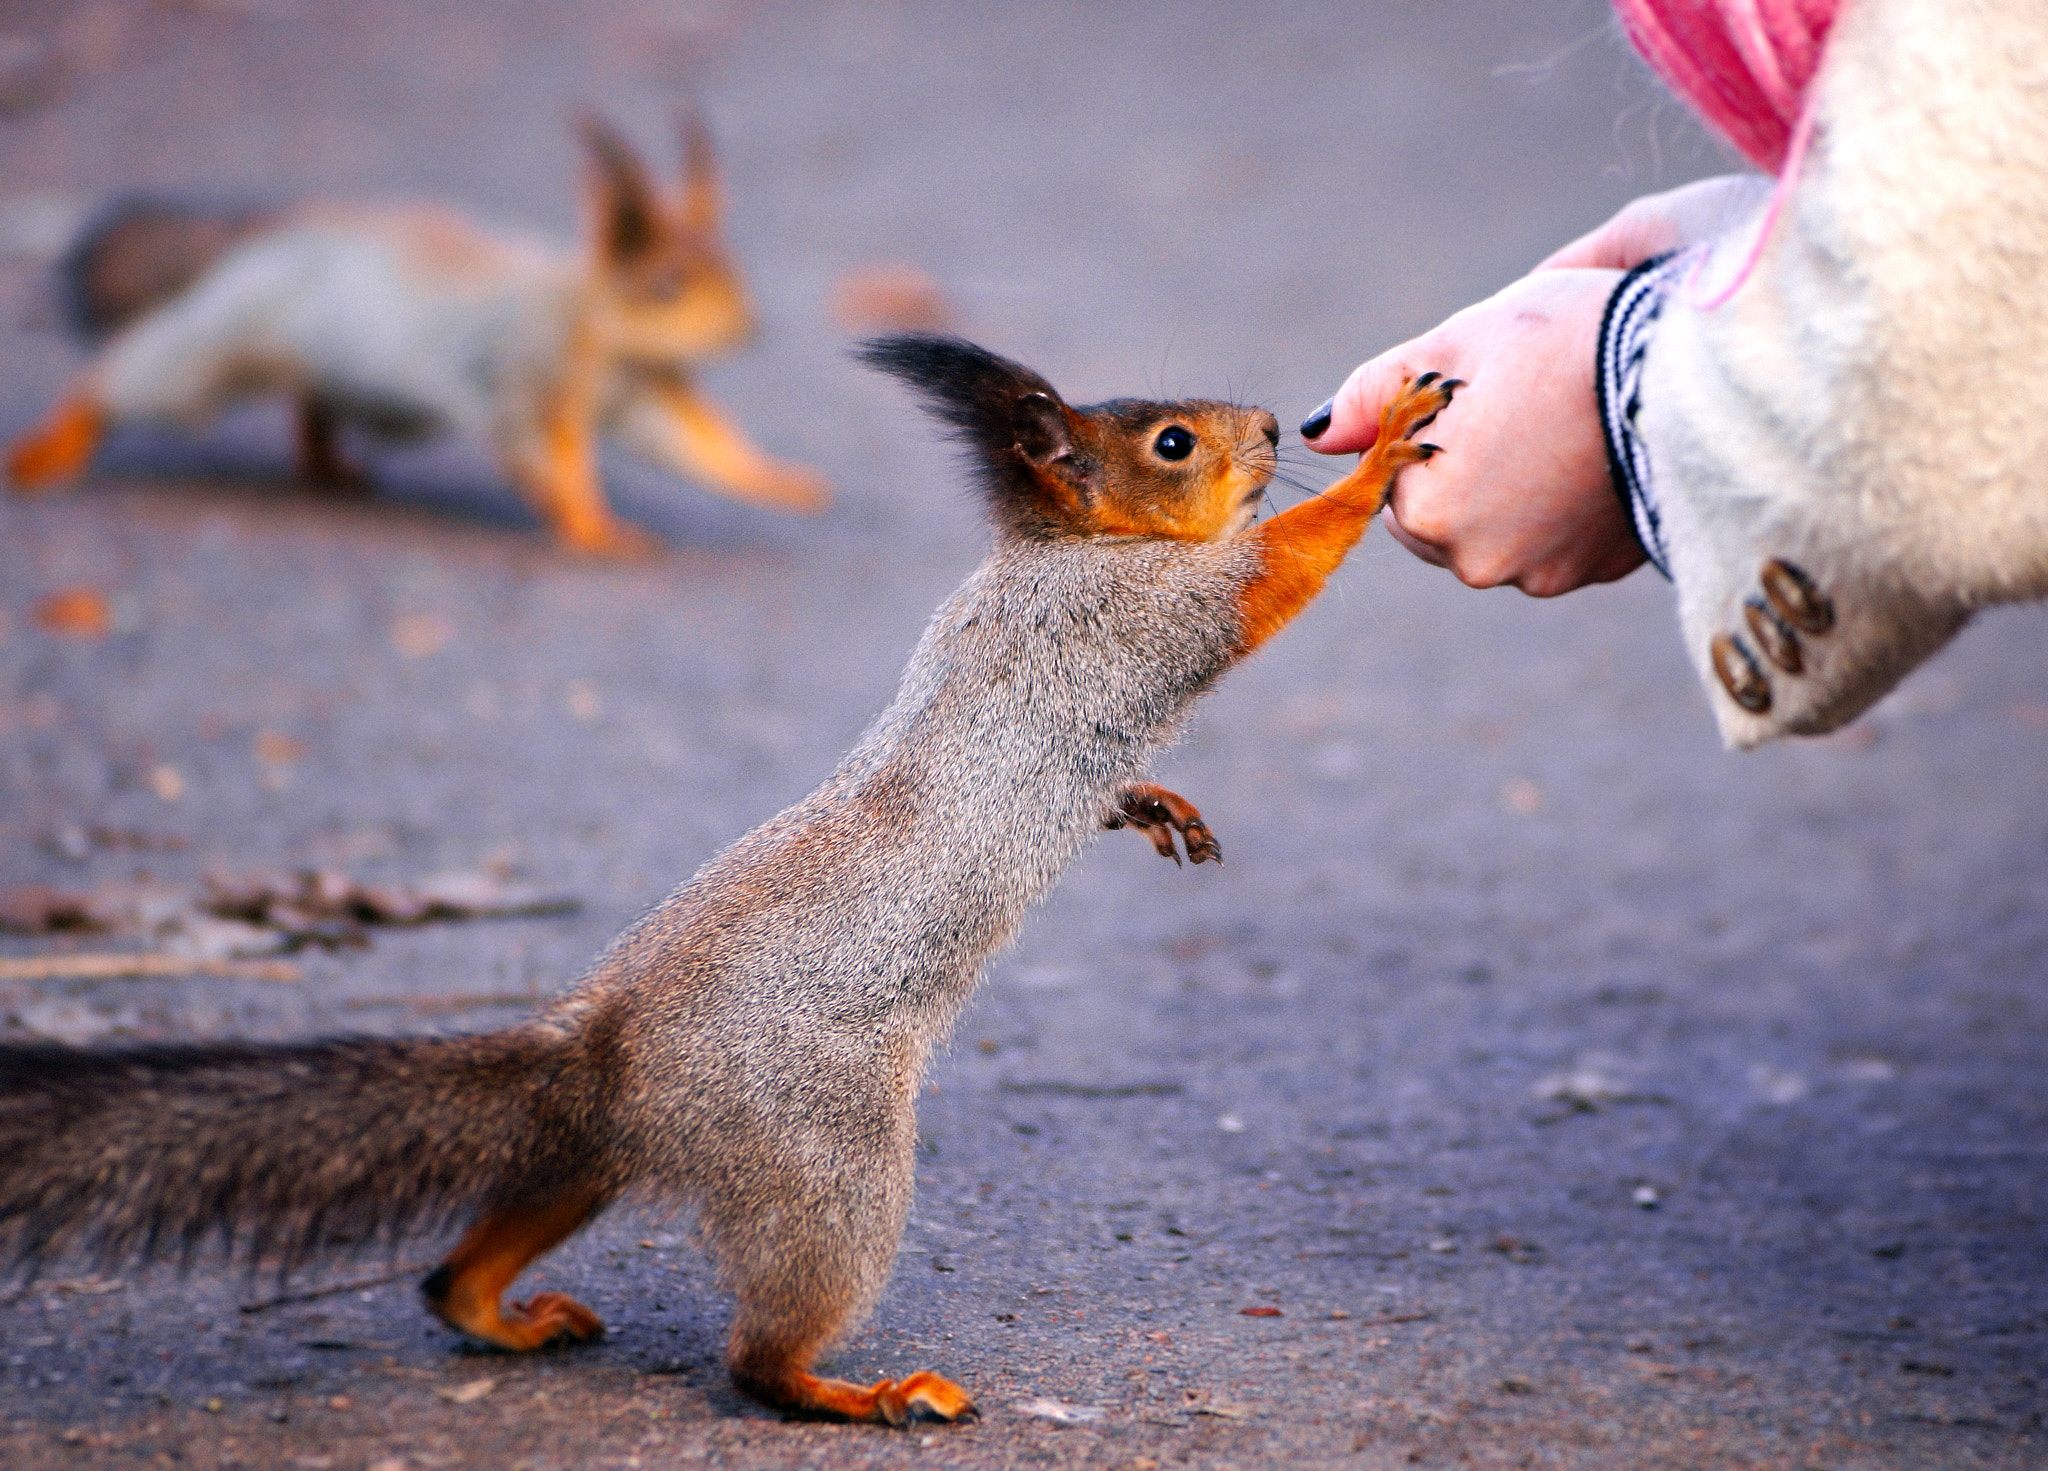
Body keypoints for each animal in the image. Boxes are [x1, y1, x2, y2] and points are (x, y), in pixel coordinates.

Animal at [0, 338, 1458, 1425]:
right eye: (1170, 444)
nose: (1269, 420)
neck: (1061, 549)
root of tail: (611, 1047)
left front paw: (1151, 802)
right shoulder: (1145, 612)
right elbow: (1274, 570)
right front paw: (1385, 451)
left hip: (614, 1143)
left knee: (488, 1240)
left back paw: (500, 1312)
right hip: (821, 1150)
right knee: (761, 1353)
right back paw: (855, 1391)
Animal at [9, 112, 823, 557]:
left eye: (732, 268)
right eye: (668, 285)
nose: (749, 329)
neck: (601, 332)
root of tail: (278, 229)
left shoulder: (647, 393)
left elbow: (700, 446)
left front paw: (781, 480)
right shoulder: (531, 375)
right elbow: (549, 460)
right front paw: (592, 526)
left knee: (311, 402)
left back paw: (326, 466)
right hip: (223, 343)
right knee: (122, 376)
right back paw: (49, 446)